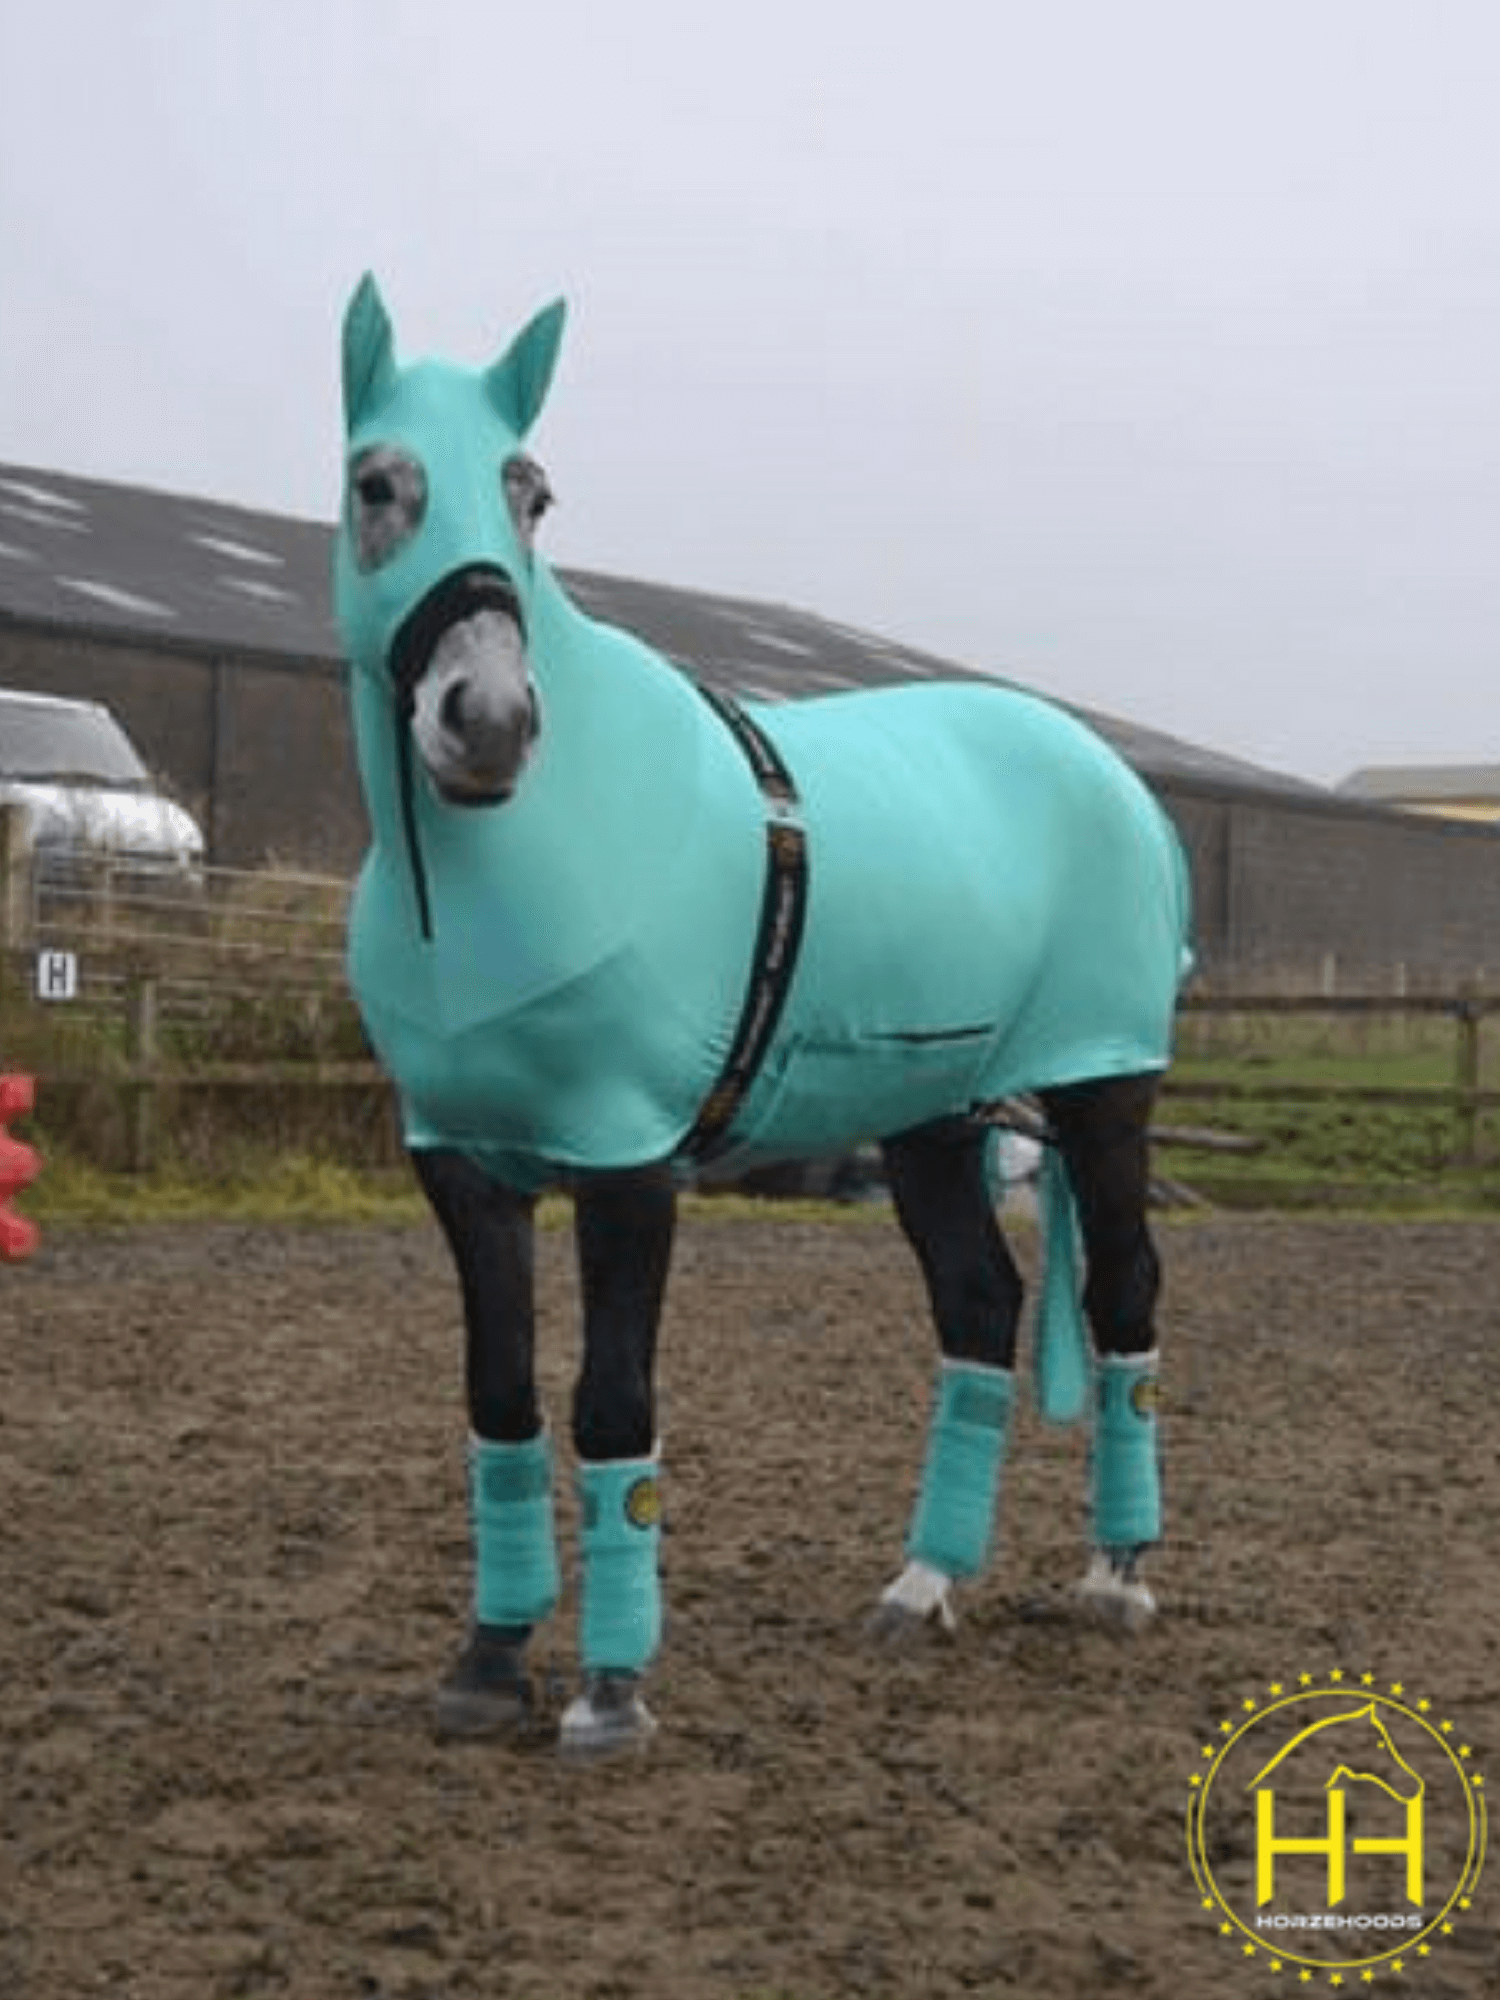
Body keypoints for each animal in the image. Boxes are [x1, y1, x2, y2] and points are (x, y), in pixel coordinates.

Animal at [332, 276, 1194, 1756]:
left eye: (532, 492)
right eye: (377, 482)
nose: (486, 721)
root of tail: (1115, 776)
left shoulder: (627, 1161)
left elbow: (611, 1403)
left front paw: (610, 1696)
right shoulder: (460, 1167)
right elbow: (502, 1400)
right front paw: (489, 1664)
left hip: (1102, 1088)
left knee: (1123, 1295)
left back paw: (1114, 1577)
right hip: (931, 1118)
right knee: (980, 1308)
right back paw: (922, 1586)